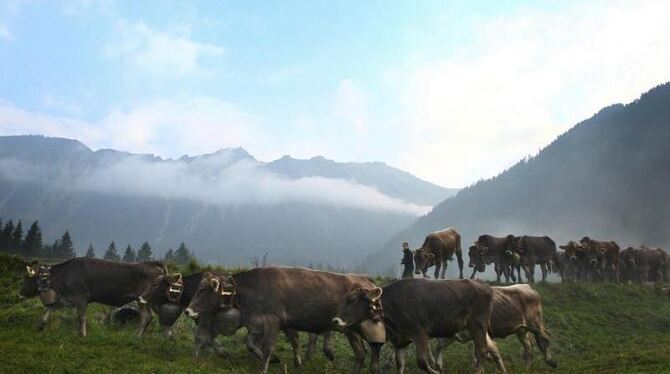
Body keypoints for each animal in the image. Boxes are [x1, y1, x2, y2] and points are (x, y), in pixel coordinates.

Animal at [19, 258, 167, 338]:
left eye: (26, 277)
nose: (19, 293)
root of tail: (154, 264)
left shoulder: (81, 297)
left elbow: (81, 317)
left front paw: (82, 335)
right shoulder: (66, 298)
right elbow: (49, 309)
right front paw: (39, 325)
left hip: (146, 300)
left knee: (146, 316)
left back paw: (137, 336)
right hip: (144, 301)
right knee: (147, 316)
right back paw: (137, 336)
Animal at [186, 268, 376, 374]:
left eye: (202, 289)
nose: (188, 310)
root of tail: (365, 279)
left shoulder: (273, 320)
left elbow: (268, 347)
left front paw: (264, 368)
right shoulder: (258, 322)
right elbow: (252, 344)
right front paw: (274, 360)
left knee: (362, 352)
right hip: (352, 331)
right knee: (361, 353)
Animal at [334, 280, 506, 372]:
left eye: (352, 299)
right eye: (344, 298)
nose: (335, 320)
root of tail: (485, 286)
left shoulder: (421, 333)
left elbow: (422, 362)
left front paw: (437, 371)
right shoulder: (400, 341)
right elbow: (400, 364)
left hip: (478, 325)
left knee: (481, 351)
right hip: (473, 328)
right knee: (489, 348)